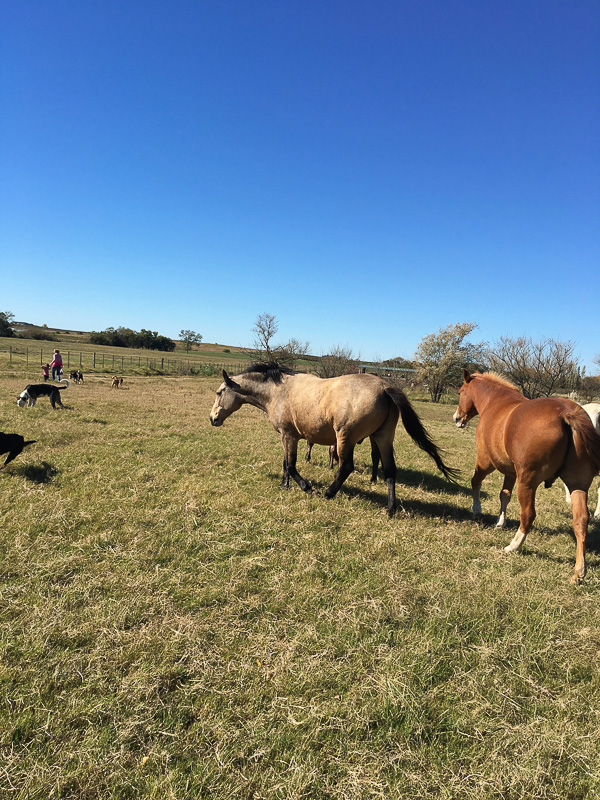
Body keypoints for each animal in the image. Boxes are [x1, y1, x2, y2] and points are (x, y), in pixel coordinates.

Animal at [210, 363, 458, 515]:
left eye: (219, 392)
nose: (212, 418)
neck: (278, 391)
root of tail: (384, 387)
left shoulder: (289, 436)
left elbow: (291, 465)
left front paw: (306, 487)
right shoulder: (288, 437)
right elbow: (285, 463)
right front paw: (284, 485)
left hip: (345, 439)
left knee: (346, 467)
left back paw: (329, 493)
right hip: (383, 438)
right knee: (390, 471)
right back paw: (390, 508)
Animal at [453, 369, 600, 582]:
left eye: (460, 392)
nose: (457, 418)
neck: (496, 401)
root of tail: (565, 412)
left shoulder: (485, 462)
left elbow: (476, 482)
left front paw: (477, 510)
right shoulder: (510, 471)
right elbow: (504, 495)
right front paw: (500, 522)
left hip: (527, 482)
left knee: (528, 515)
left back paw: (514, 546)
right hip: (577, 485)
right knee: (581, 520)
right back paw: (580, 570)